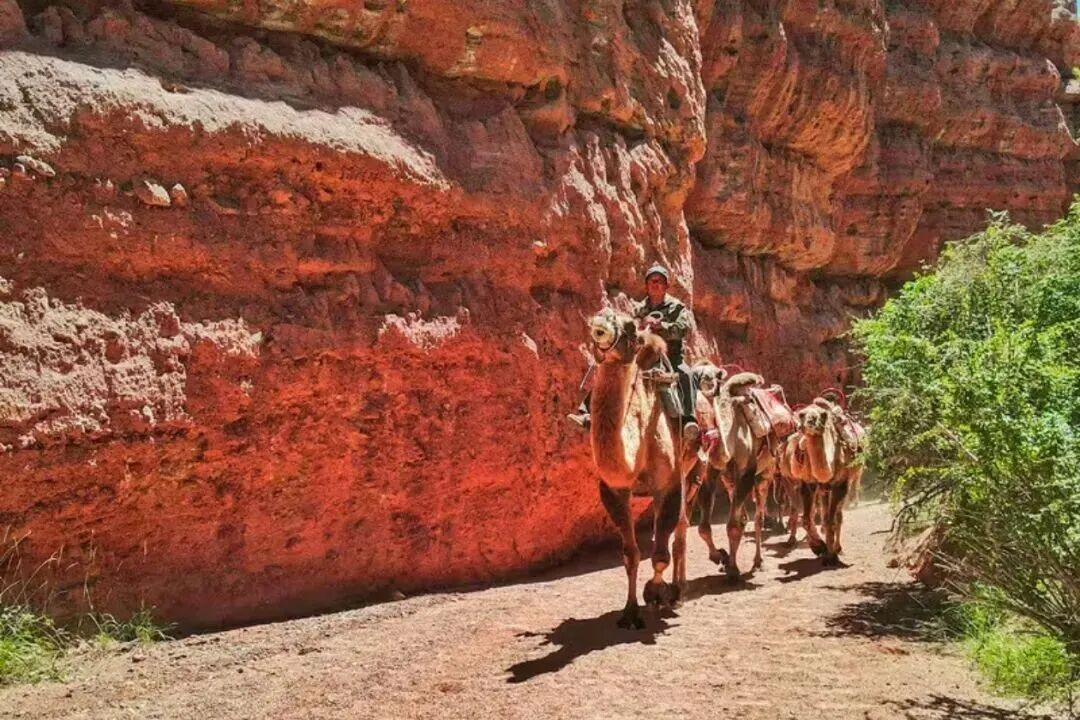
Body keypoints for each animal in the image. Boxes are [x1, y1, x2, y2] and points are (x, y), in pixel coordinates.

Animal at [585, 308, 698, 628]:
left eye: (631, 326)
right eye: (599, 315)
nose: (600, 326)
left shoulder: (668, 485)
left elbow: (659, 554)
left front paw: (657, 594)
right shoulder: (614, 490)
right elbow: (631, 554)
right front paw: (630, 611)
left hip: (695, 468)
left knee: (682, 527)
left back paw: (679, 591)